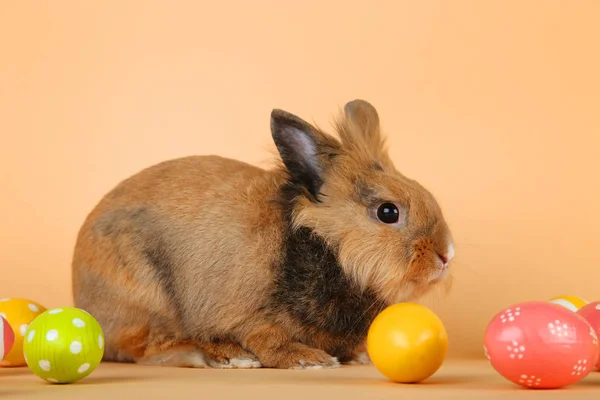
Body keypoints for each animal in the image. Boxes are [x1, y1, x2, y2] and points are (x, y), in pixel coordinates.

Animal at [71, 99, 454, 368]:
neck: (323, 245)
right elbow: (268, 339)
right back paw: (221, 356)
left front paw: (355, 357)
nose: (446, 255)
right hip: (147, 299)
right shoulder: (250, 313)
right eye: (388, 212)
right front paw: (307, 360)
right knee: (149, 347)